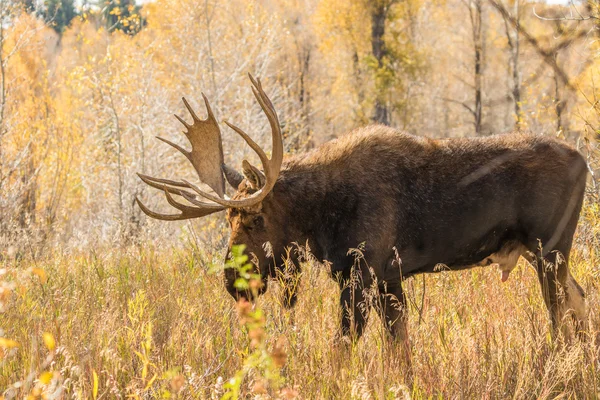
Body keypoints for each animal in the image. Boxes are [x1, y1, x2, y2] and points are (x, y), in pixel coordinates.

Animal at [136, 74, 584, 340]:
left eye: (257, 217)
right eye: (227, 218)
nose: (233, 282)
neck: (320, 220)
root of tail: (585, 162)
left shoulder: (360, 274)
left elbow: (343, 346)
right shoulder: (389, 278)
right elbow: (399, 349)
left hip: (550, 250)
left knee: (560, 317)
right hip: (543, 255)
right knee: (579, 300)